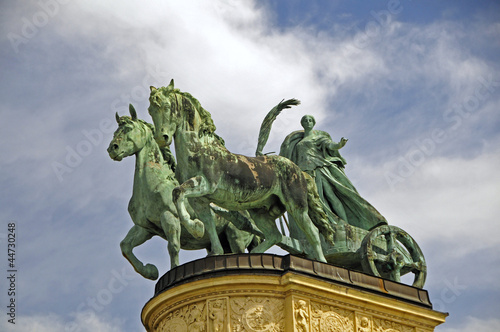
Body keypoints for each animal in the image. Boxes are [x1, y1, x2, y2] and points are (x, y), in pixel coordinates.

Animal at [148, 80, 336, 262]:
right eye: (150, 110)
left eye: (166, 106)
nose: (161, 138)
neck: (200, 148)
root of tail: (301, 172)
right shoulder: (200, 199)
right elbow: (207, 221)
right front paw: (213, 248)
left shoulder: (206, 184)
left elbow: (177, 192)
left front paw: (196, 228)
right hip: (259, 211)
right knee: (274, 236)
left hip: (296, 205)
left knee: (312, 232)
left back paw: (321, 262)